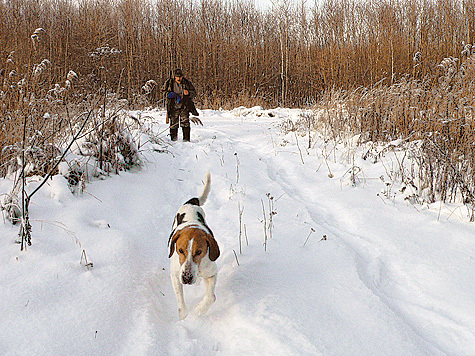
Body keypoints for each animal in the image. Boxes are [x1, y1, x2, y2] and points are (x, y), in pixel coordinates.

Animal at [168, 172, 220, 320]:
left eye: (199, 252)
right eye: (180, 250)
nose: (186, 278)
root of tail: (191, 203)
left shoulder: (212, 273)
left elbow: (211, 297)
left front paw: (199, 310)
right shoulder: (175, 275)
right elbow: (181, 303)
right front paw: (184, 318)